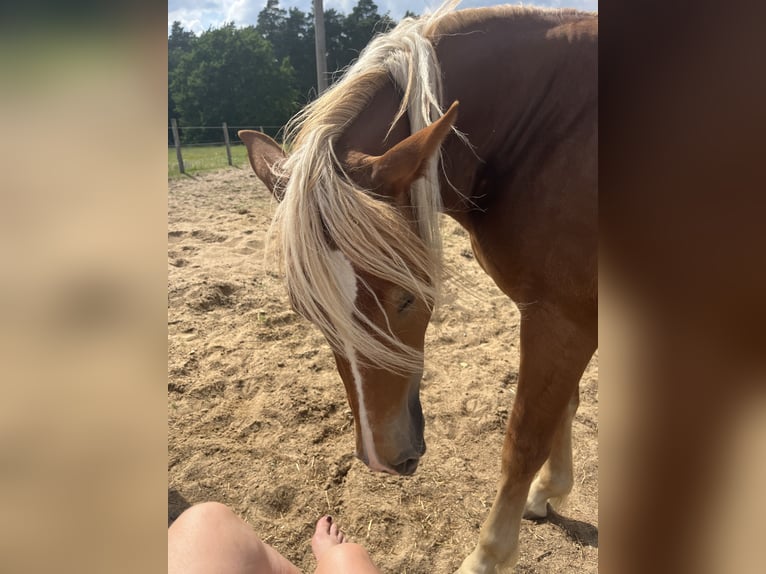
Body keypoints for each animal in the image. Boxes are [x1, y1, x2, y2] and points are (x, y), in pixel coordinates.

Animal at [238, 2, 597, 571]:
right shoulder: (569, 316)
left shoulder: (563, 316)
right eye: (311, 312)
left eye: (406, 298)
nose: (383, 459)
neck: (552, 132)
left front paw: (487, 556)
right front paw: (549, 492)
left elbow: (524, 438)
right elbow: (563, 406)